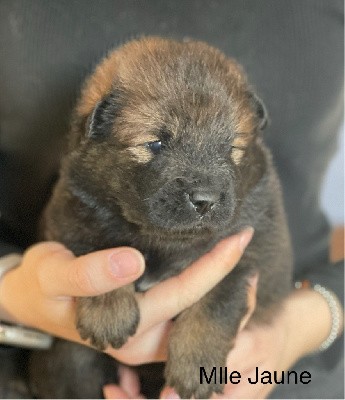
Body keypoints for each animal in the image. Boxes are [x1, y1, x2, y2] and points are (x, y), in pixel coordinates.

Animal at [28, 36, 290, 396]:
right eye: (155, 143)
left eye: (230, 149)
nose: (205, 200)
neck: (163, 241)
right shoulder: (70, 212)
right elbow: (97, 248)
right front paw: (109, 310)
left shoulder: (247, 248)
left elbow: (218, 299)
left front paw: (197, 365)